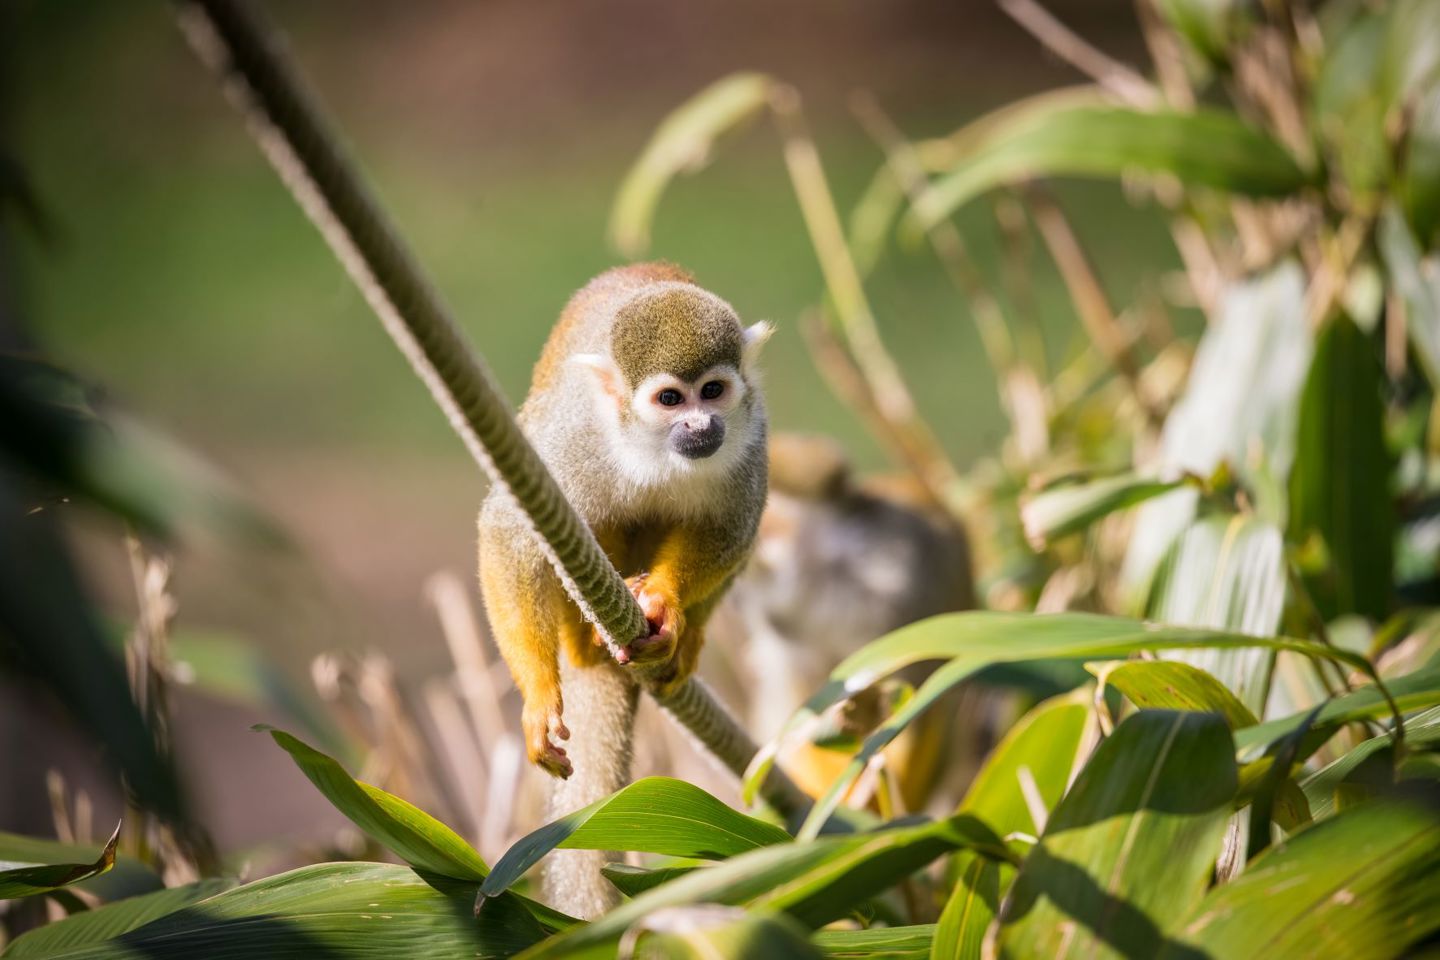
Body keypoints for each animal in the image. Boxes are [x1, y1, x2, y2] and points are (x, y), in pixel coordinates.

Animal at [478, 260, 771, 788]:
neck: (650, 447)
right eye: (670, 399)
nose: (701, 426)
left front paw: (663, 600)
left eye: (712, 391)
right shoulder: (574, 437)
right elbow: (508, 532)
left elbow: (732, 527)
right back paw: (586, 644)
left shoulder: (752, 430)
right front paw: (538, 696)